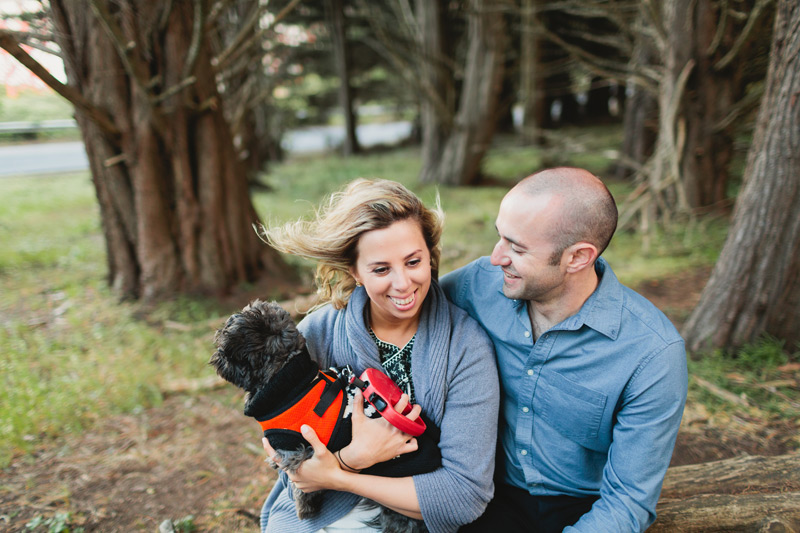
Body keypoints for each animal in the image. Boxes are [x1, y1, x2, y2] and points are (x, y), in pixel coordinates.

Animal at [209, 300, 440, 532]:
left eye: (224, 343)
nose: (216, 358)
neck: (289, 382)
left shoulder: (296, 449)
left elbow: (299, 484)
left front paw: (304, 509)